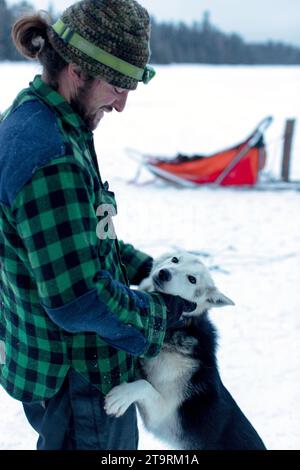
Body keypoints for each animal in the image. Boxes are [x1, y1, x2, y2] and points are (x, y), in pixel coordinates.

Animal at [104, 252, 266, 450]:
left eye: (192, 279)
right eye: (175, 260)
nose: (164, 273)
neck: (176, 328)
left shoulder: (162, 415)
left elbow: (144, 385)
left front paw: (122, 396)